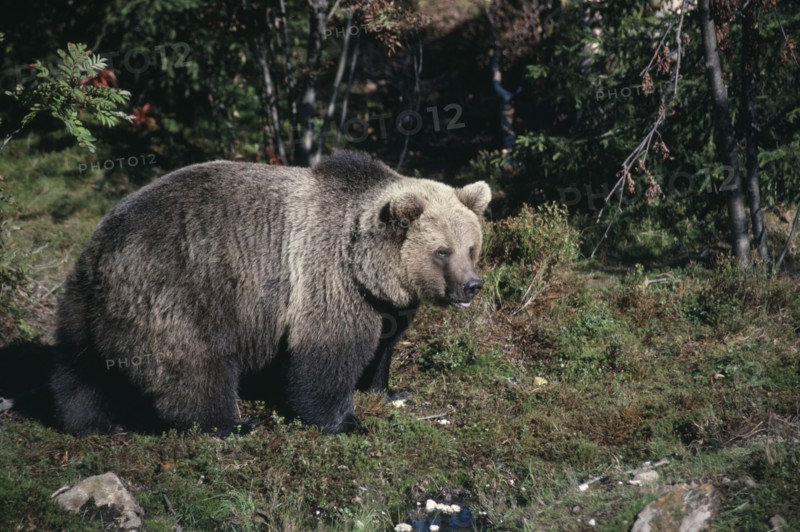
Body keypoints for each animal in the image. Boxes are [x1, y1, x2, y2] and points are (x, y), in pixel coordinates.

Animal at [51, 151, 491, 435]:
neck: (367, 268)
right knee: (196, 364)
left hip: (84, 307)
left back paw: (93, 422)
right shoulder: (326, 280)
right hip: (179, 289)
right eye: (441, 250)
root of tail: (101, 250)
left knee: (79, 368)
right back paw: (230, 423)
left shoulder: (385, 303)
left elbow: (384, 346)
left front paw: (389, 390)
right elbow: (327, 354)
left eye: (471, 247)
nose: (471, 285)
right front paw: (345, 421)